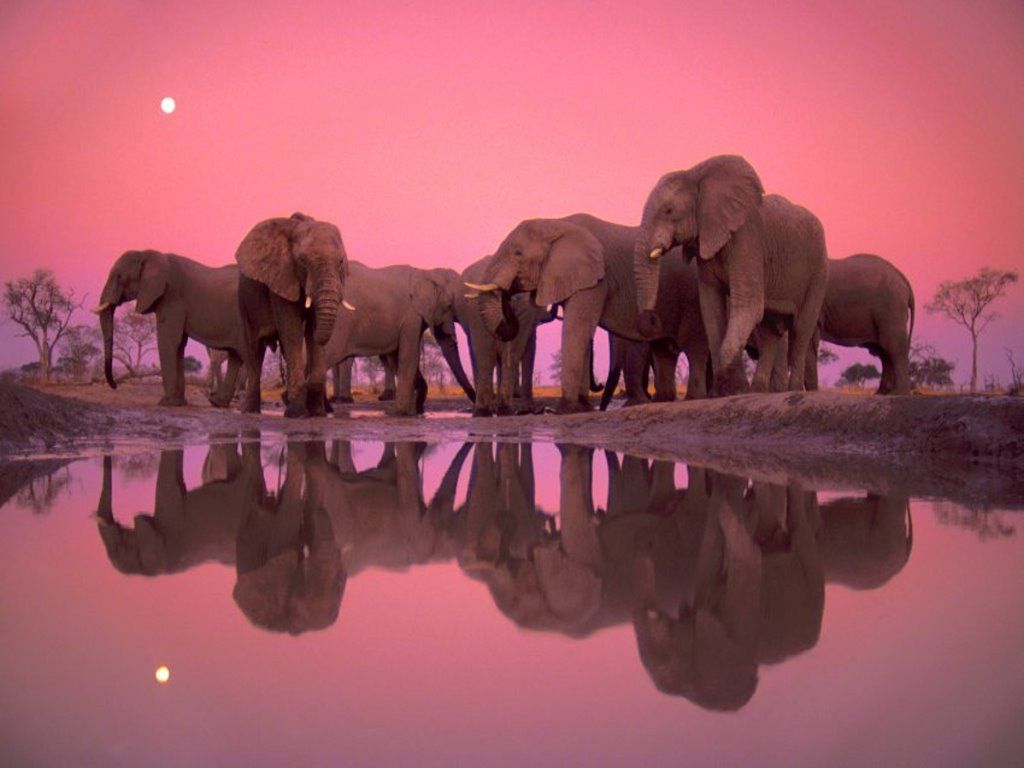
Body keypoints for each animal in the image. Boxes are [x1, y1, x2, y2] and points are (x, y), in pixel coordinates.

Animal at [93, 250, 245, 407]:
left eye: (119, 276)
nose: (115, 385)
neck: (149, 254)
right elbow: (179, 344)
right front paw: (179, 402)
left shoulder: (172, 297)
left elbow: (168, 340)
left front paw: (166, 402)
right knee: (235, 356)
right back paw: (217, 402)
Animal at [235, 212, 350, 418]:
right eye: (303, 261)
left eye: (340, 262)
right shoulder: (281, 278)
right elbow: (292, 331)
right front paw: (297, 413)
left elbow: (311, 332)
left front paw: (317, 413)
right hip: (244, 301)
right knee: (254, 349)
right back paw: (250, 411)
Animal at [321, 261, 474, 416]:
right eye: (450, 305)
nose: (469, 409)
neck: (426, 273)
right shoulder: (411, 316)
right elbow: (408, 356)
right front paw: (403, 412)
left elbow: (398, 357)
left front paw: (412, 409)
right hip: (342, 322)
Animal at [470, 214, 714, 413]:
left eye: (518, 253)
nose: (507, 295)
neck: (557, 223)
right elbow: (582, 331)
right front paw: (582, 406)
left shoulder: (595, 279)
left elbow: (577, 327)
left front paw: (563, 410)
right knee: (664, 350)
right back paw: (663, 400)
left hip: (692, 297)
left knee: (694, 346)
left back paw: (694, 398)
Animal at [633, 155, 829, 393]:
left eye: (669, 211)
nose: (651, 317)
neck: (697, 176)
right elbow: (711, 307)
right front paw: (724, 391)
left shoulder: (746, 240)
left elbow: (747, 305)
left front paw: (735, 388)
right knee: (770, 331)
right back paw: (758, 390)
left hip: (818, 271)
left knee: (801, 328)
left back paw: (791, 390)